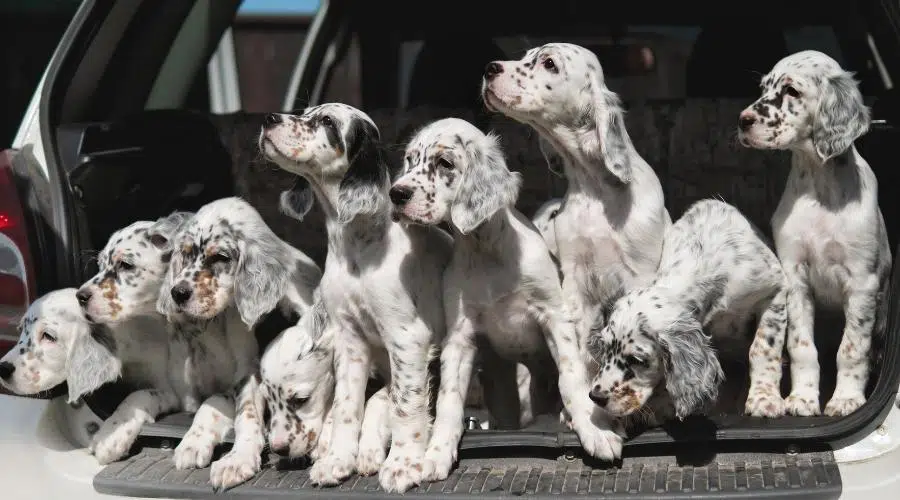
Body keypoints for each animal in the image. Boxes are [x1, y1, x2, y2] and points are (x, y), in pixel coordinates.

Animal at [158, 197, 324, 490]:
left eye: (220, 257)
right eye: (185, 253)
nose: (177, 293)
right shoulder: (242, 377)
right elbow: (229, 410)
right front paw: (205, 446)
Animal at [262, 102, 458, 492]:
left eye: (326, 121)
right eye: (304, 111)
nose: (269, 119)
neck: (357, 249)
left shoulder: (407, 338)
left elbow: (405, 406)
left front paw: (403, 464)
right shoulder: (350, 340)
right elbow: (347, 405)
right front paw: (338, 460)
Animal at [390, 118, 624, 480]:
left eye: (444, 163)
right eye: (410, 160)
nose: (397, 194)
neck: (488, 252)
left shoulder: (553, 317)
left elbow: (571, 377)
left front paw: (594, 430)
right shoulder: (459, 337)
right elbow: (448, 400)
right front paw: (437, 452)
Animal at [740, 51, 892, 418]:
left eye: (791, 90)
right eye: (763, 88)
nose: (743, 120)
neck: (820, 192)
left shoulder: (862, 283)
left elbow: (851, 348)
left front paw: (846, 399)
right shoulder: (796, 278)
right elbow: (803, 347)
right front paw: (803, 398)